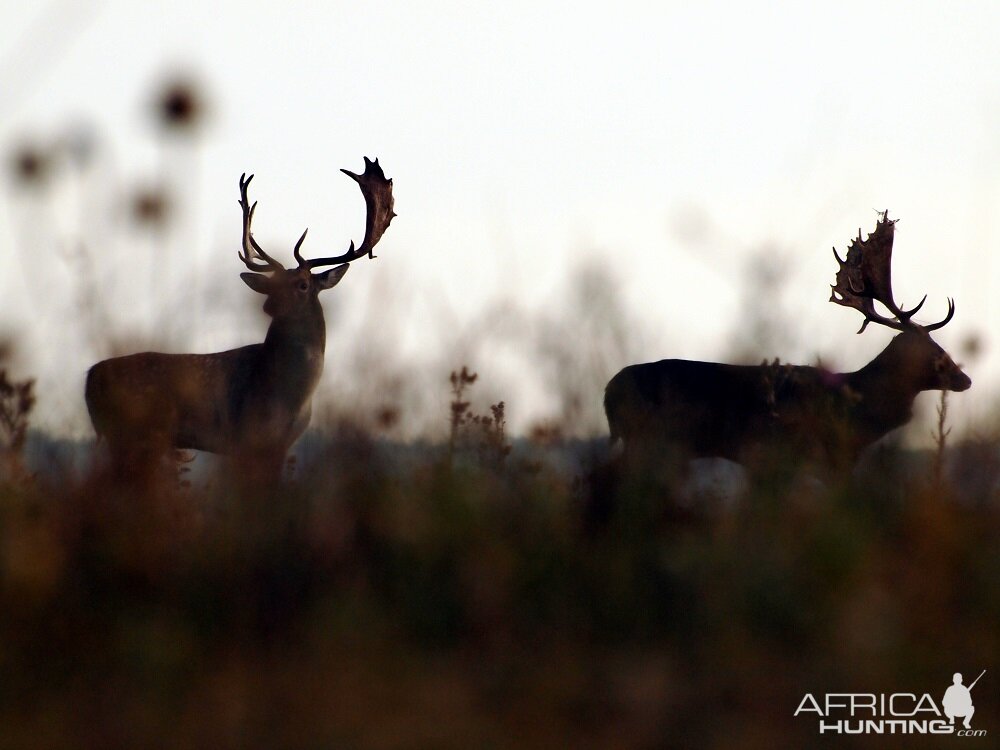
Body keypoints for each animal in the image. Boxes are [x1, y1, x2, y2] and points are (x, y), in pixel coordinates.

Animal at [86, 157, 396, 482]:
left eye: (302, 285)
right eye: (272, 285)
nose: (269, 305)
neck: (291, 396)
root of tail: (90, 378)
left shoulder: (280, 446)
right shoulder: (246, 437)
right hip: (131, 434)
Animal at [604, 212, 972, 472]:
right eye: (934, 351)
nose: (965, 379)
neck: (858, 407)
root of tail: (608, 393)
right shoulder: (817, 453)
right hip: (651, 439)